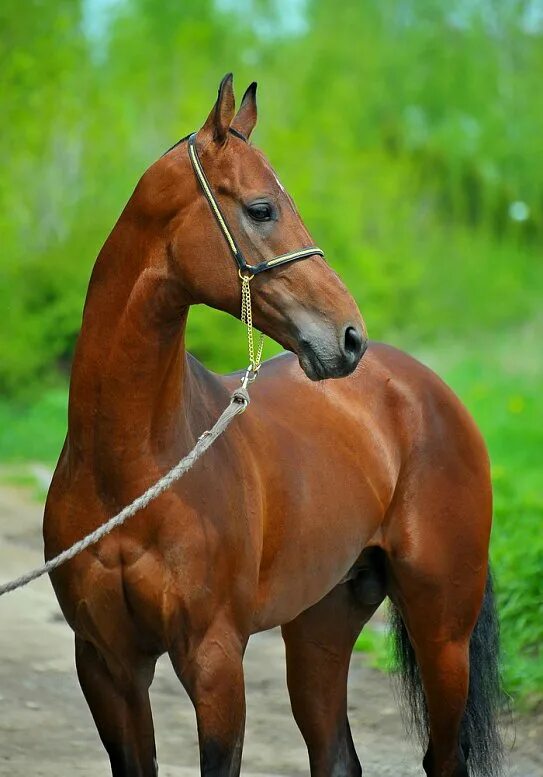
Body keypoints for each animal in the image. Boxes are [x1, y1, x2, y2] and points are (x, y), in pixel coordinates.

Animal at [44, 74, 504, 776]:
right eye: (261, 209)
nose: (348, 338)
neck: (131, 469)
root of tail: (427, 390)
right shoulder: (105, 665)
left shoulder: (213, 660)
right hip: (321, 626)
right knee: (336, 755)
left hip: (443, 632)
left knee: (442, 757)